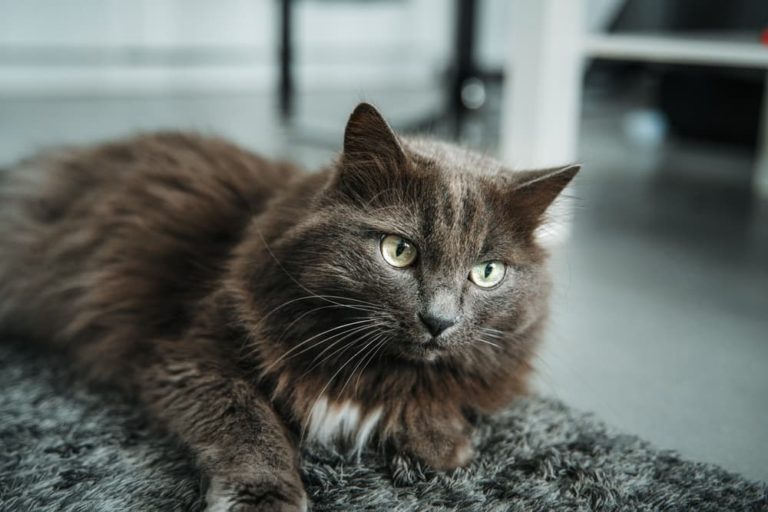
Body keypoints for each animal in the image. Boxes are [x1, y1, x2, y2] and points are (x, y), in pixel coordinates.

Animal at [0, 104, 576, 512]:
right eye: (398, 251)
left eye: (487, 272)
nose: (439, 320)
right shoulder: (193, 356)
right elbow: (250, 424)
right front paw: (265, 498)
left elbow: (437, 406)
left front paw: (444, 444)